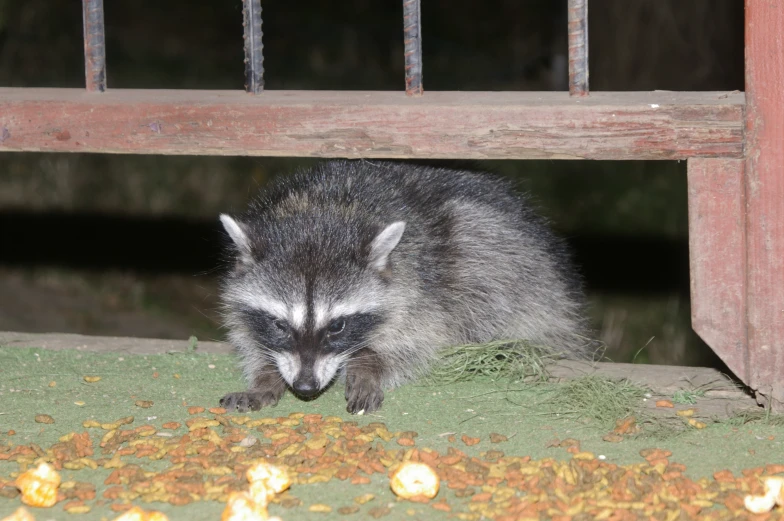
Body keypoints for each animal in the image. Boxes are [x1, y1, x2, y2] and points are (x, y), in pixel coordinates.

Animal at [217, 160, 592, 412]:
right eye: (279, 324)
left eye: (337, 326)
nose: (306, 387)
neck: (323, 211)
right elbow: (248, 336)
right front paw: (266, 376)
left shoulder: (423, 283)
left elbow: (420, 340)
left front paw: (370, 362)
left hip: (506, 259)